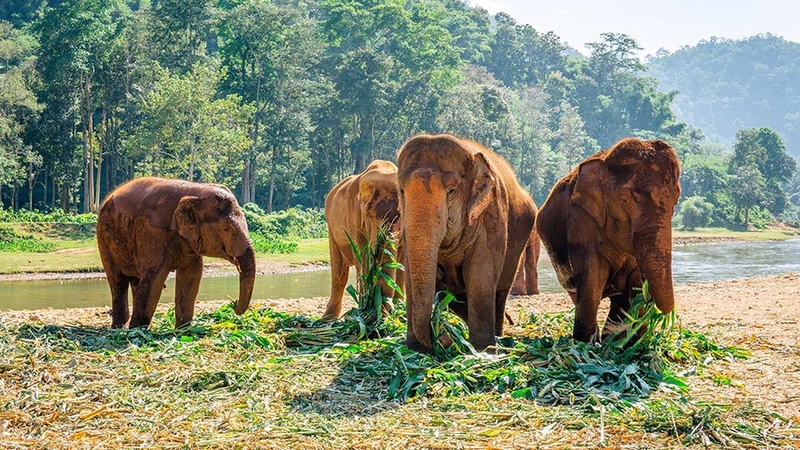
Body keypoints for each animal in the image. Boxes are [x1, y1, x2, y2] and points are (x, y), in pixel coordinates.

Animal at [96, 177, 256, 329]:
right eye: (226, 229)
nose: (233, 303)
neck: (196, 190)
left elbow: (192, 276)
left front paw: (184, 330)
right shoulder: (152, 233)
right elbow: (154, 278)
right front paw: (138, 330)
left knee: (136, 281)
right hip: (104, 239)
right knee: (118, 281)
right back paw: (121, 328)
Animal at [322, 159, 403, 320]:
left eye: (401, 213)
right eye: (367, 213)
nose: (385, 313)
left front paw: (400, 311)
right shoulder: (354, 216)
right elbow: (364, 256)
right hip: (331, 227)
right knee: (340, 273)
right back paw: (329, 318)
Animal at [397, 133, 537, 352]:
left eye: (451, 191)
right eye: (402, 191)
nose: (443, 337)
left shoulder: (491, 217)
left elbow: (479, 276)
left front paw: (482, 350)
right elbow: (411, 275)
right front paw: (415, 349)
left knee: (500, 294)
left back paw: (497, 337)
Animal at [535, 138, 681, 342]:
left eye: (675, 201)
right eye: (624, 200)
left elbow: (636, 282)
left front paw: (630, 342)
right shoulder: (581, 219)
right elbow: (592, 277)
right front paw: (585, 343)